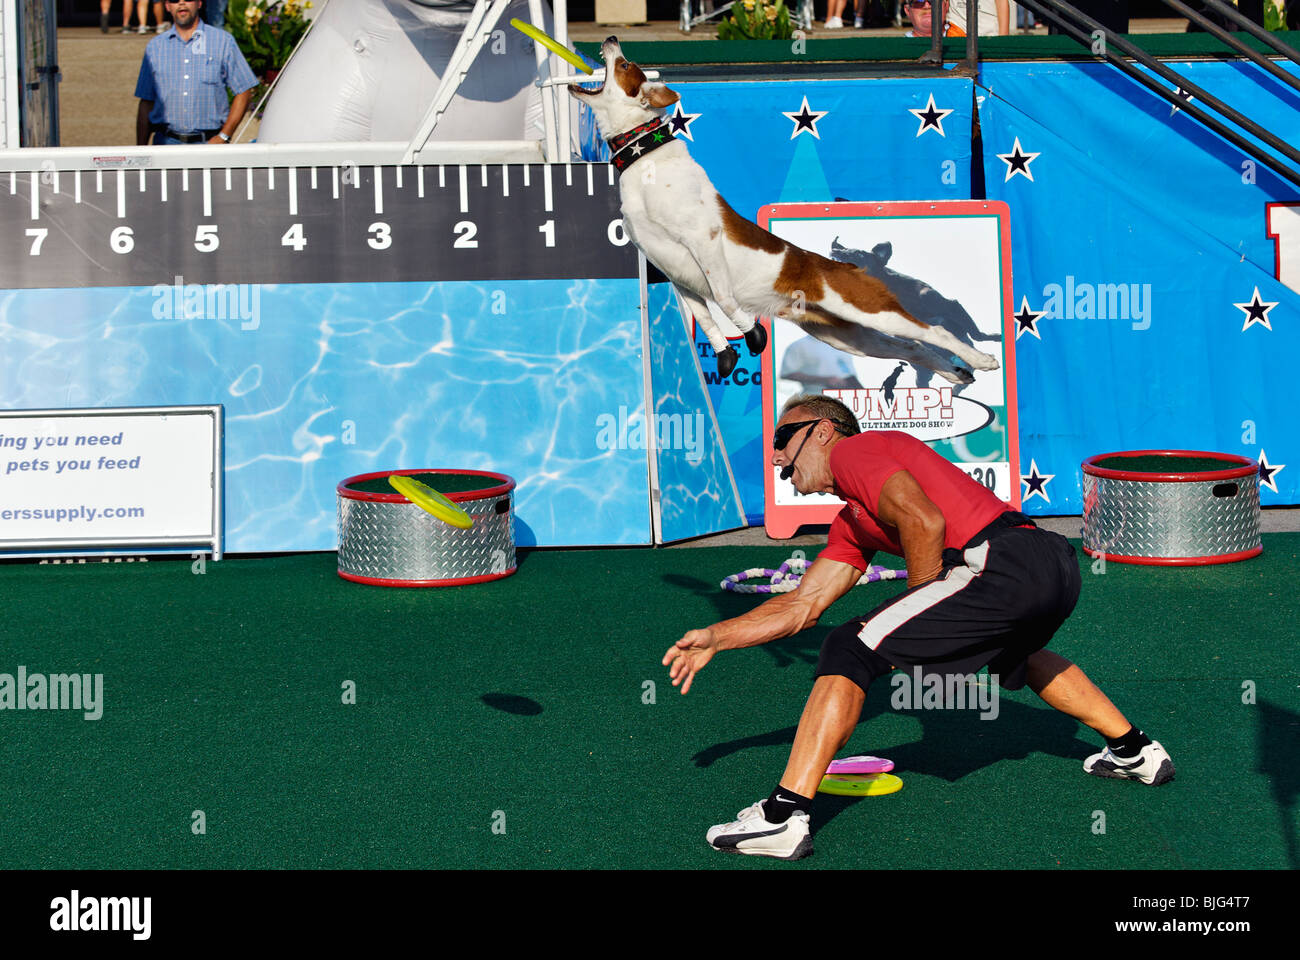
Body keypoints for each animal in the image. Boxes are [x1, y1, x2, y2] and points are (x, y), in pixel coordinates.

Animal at [564, 38, 998, 382]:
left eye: (623, 65)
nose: (610, 39)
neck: (644, 158)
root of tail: (848, 266)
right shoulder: (669, 269)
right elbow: (704, 318)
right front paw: (726, 353)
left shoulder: (703, 242)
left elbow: (723, 300)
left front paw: (751, 333)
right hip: (849, 336)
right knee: (911, 348)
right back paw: (954, 372)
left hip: (871, 312)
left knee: (934, 332)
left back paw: (981, 360)